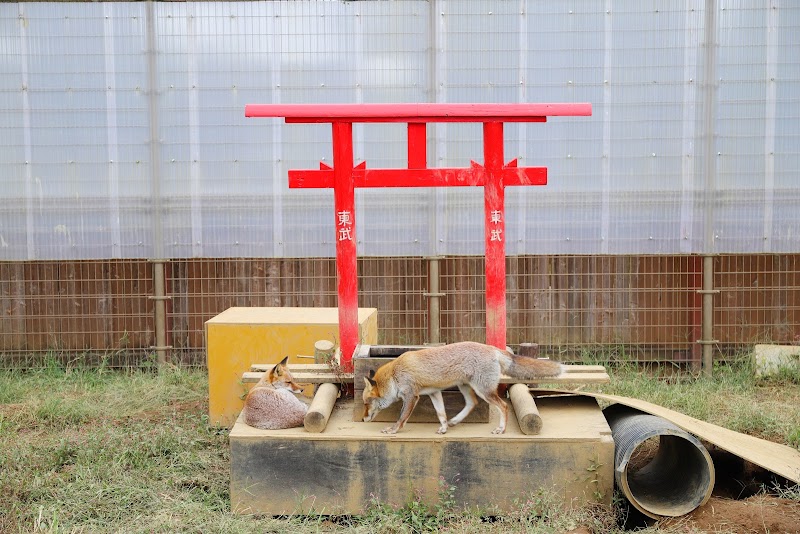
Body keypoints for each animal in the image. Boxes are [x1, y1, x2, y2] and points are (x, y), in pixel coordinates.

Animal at [362, 344, 564, 436]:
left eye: (365, 403)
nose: (363, 419)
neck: (395, 375)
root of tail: (493, 348)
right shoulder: (434, 392)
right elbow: (441, 414)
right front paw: (444, 427)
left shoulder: (412, 396)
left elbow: (401, 418)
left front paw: (393, 430)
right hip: (466, 387)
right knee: (472, 403)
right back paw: (454, 421)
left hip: (484, 391)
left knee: (504, 406)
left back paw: (501, 429)